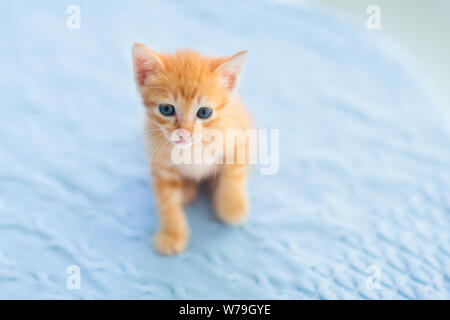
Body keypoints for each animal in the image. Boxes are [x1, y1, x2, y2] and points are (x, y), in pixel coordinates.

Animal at [131, 44, 253, 255]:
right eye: (166, 109)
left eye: (204, 112)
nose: (184, 134)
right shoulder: (160, 165)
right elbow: (167, 201)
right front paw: (172, 233)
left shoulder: (240, 138)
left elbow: (233, 175)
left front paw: (232, 206)